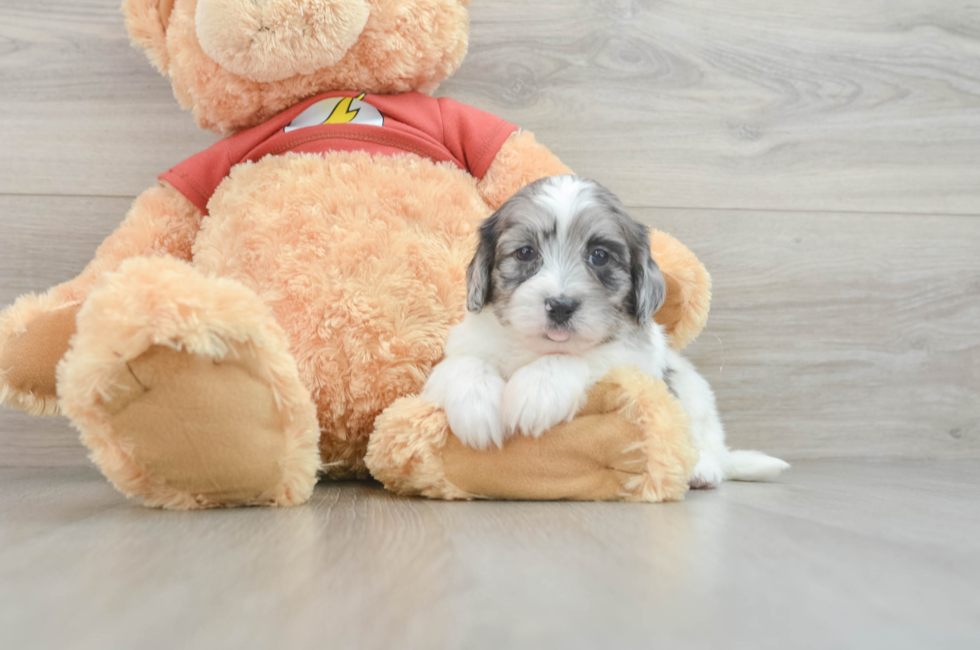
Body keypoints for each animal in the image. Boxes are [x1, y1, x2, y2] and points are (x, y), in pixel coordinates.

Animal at [422, 175, 788, 484]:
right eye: (525, 252)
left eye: (599, 256)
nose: (560, 305)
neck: (536, 347)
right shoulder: (462, 349)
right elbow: (465, 364)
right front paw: (476, 407)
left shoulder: (632, 361)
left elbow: (583, 358)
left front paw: (537, 390)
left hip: (694, 394)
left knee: (705, 442)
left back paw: (702, 468)